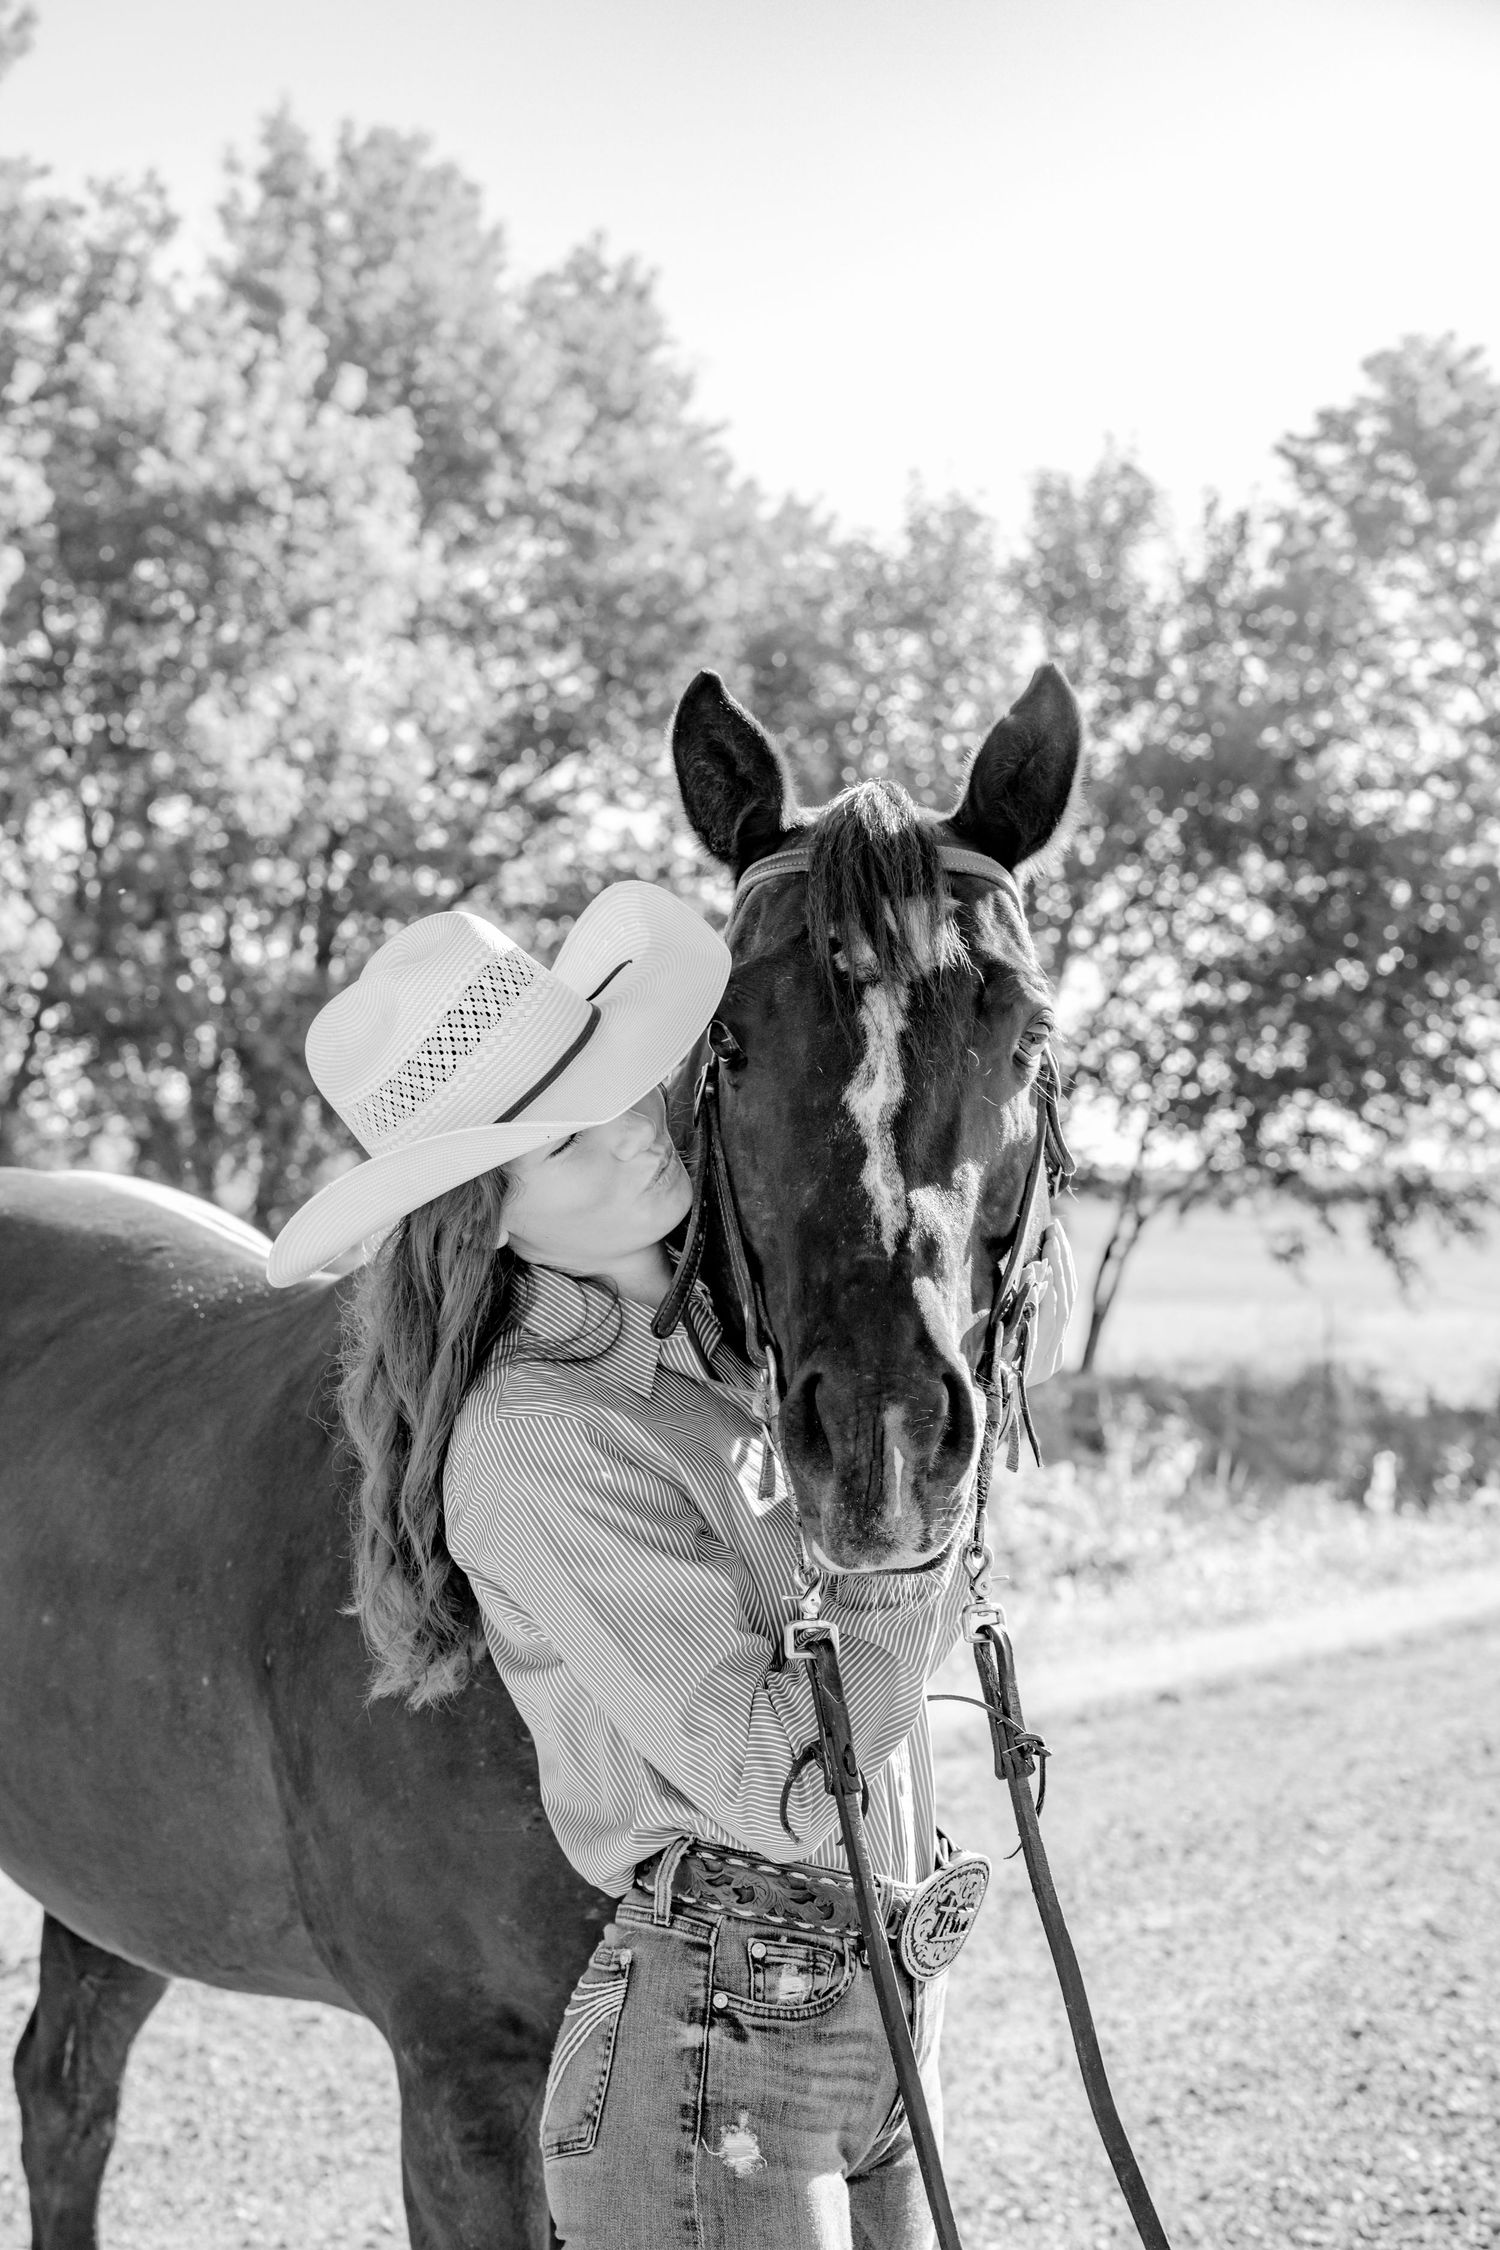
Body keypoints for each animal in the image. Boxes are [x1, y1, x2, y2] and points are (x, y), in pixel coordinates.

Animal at [0, 661, 1081, 2249]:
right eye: (732, 1042)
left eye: (1024, 1036)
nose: (883, 1445)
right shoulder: (464, 2093)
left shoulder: (892, 2136)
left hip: (123, 1871)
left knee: (66, 2088)